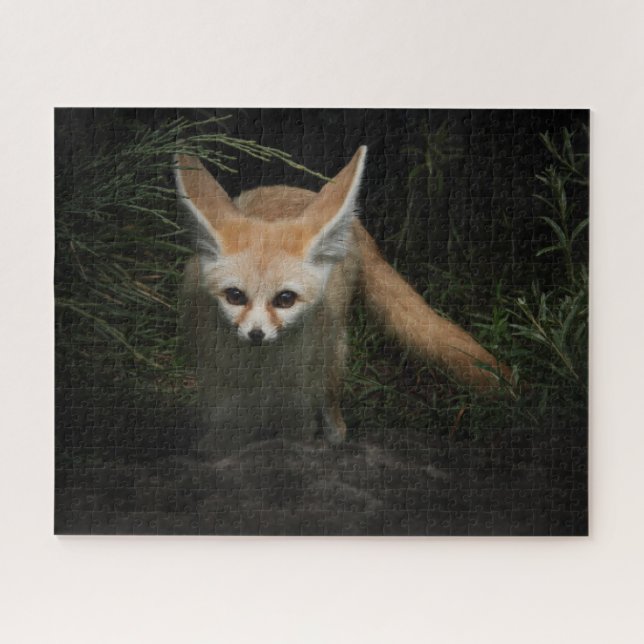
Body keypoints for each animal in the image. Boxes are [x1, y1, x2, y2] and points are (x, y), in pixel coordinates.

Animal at [175, 147, 510, 450]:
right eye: (235, 295)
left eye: (285, 299)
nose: (256, 334)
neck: (261, 370)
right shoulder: (220, 391)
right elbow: (223, 438)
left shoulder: (298, 400)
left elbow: (297, 436)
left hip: (334, 353)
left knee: (330, 404)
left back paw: (336, 433)